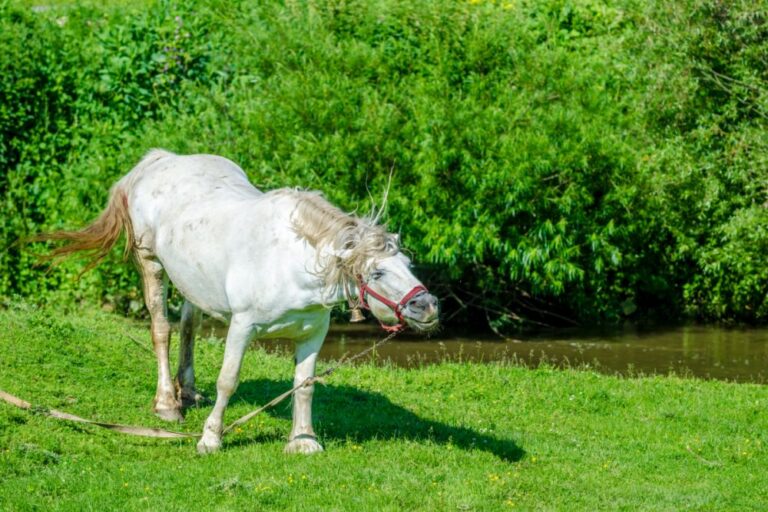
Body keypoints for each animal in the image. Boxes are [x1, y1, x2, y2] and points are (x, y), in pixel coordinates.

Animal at [37, 150, 438, 454]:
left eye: (407, 264)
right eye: (377, 273)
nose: (428, 306)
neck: (289, 262)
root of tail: (159, 159)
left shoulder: (313, 332)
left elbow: (305, 385)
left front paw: (303, 441)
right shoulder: (243, 326)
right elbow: (227, 380)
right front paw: (210, 438)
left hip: (192, 282)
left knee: (188, 328)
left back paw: (188, 392)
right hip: (151, 265)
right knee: (161, 330)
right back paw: (167, 404)